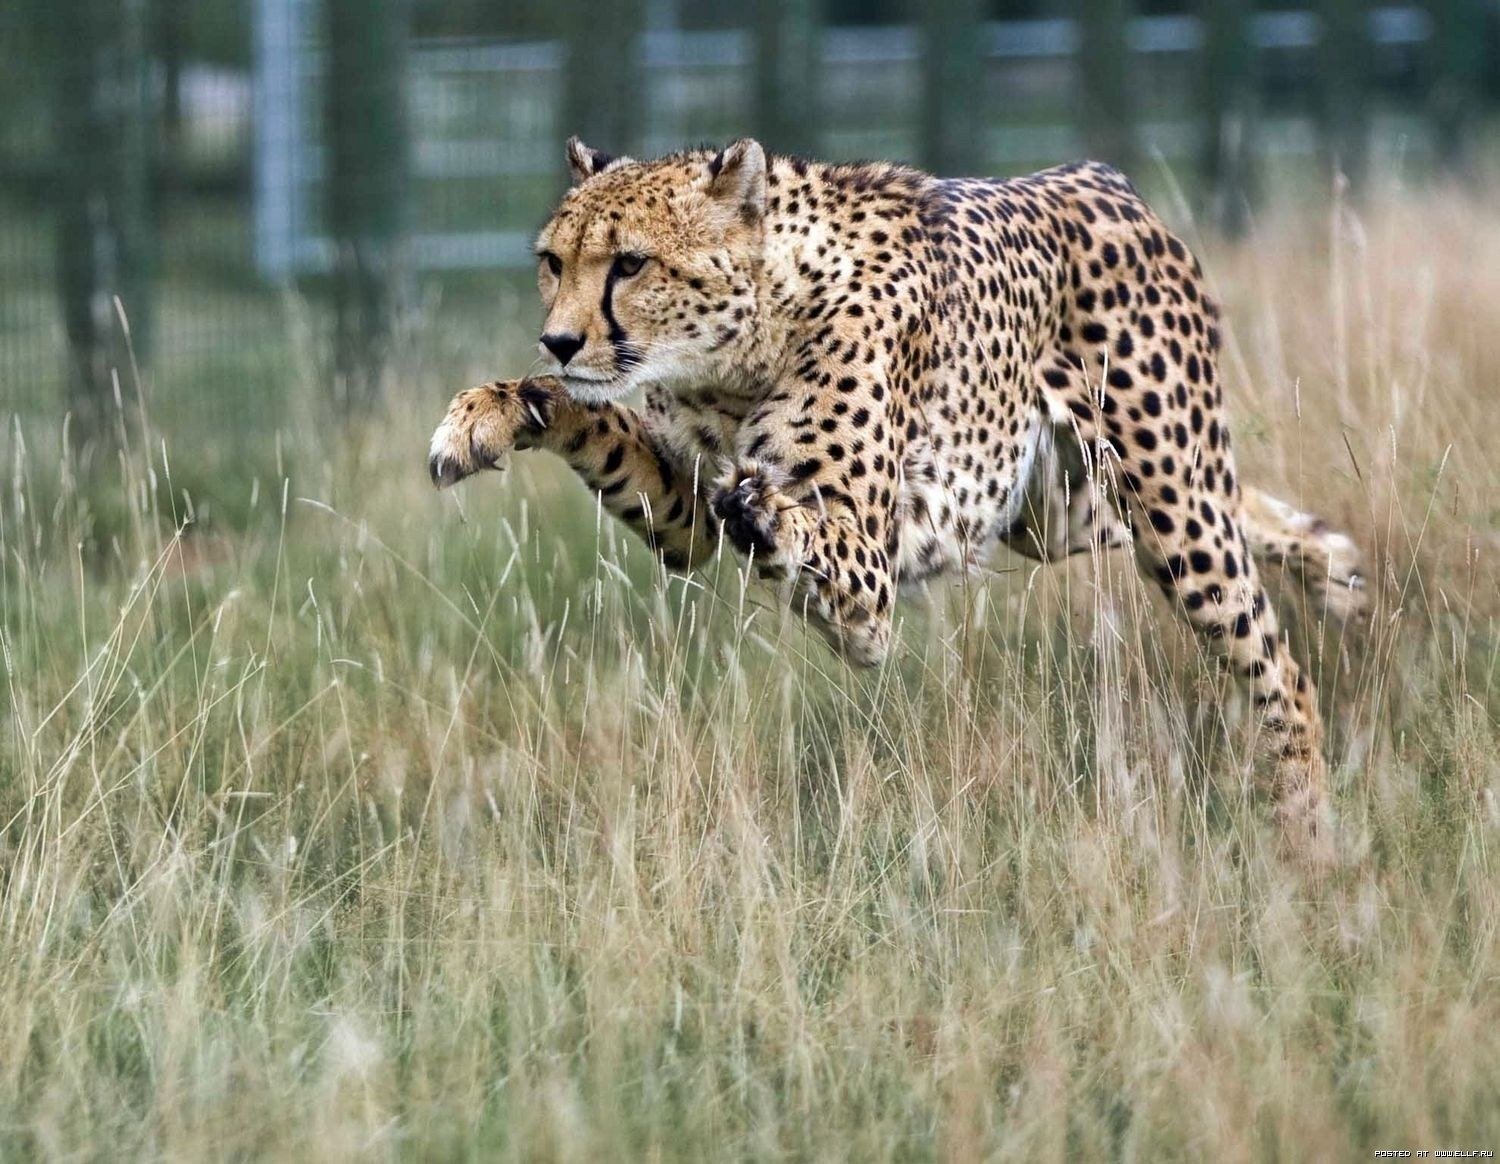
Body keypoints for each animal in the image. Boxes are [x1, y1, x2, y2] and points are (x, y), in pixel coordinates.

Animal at [429, 141, 1368, 858]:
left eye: (630, 263)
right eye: (554, 261)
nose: (559, 337)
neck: (735, 356)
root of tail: (1098, 176)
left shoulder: (870, 593)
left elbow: (807, 529)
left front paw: (769, 511)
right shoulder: (682, 508)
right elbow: (593, 418)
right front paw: (488, 412)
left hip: (1170, 511)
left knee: (1277, 665)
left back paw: (1305, 834)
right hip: (1064, 512)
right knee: (1246, 512)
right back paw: (1338, 571)